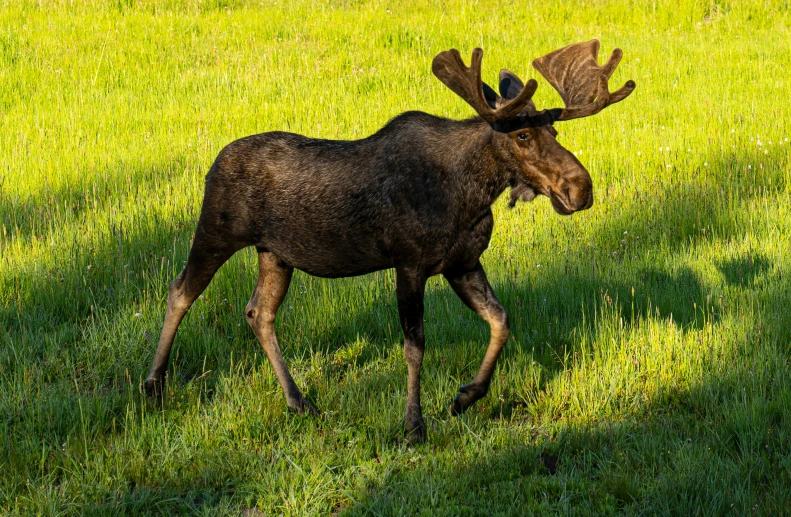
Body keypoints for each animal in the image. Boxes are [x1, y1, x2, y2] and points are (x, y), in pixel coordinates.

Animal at [144, 40, 636, 444]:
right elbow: (415, 345)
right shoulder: (410, 263)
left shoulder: (463, 263)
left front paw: (466, 396)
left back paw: (299, 401)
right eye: (522, 134)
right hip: (217, 229)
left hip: (276, 254)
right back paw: (154, 384)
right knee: (180, 290)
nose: (581, 188)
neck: (471, 193)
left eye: (555, 132)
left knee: (258, 312)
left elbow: (501, 320)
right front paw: (414, 424)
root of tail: (214, 162)